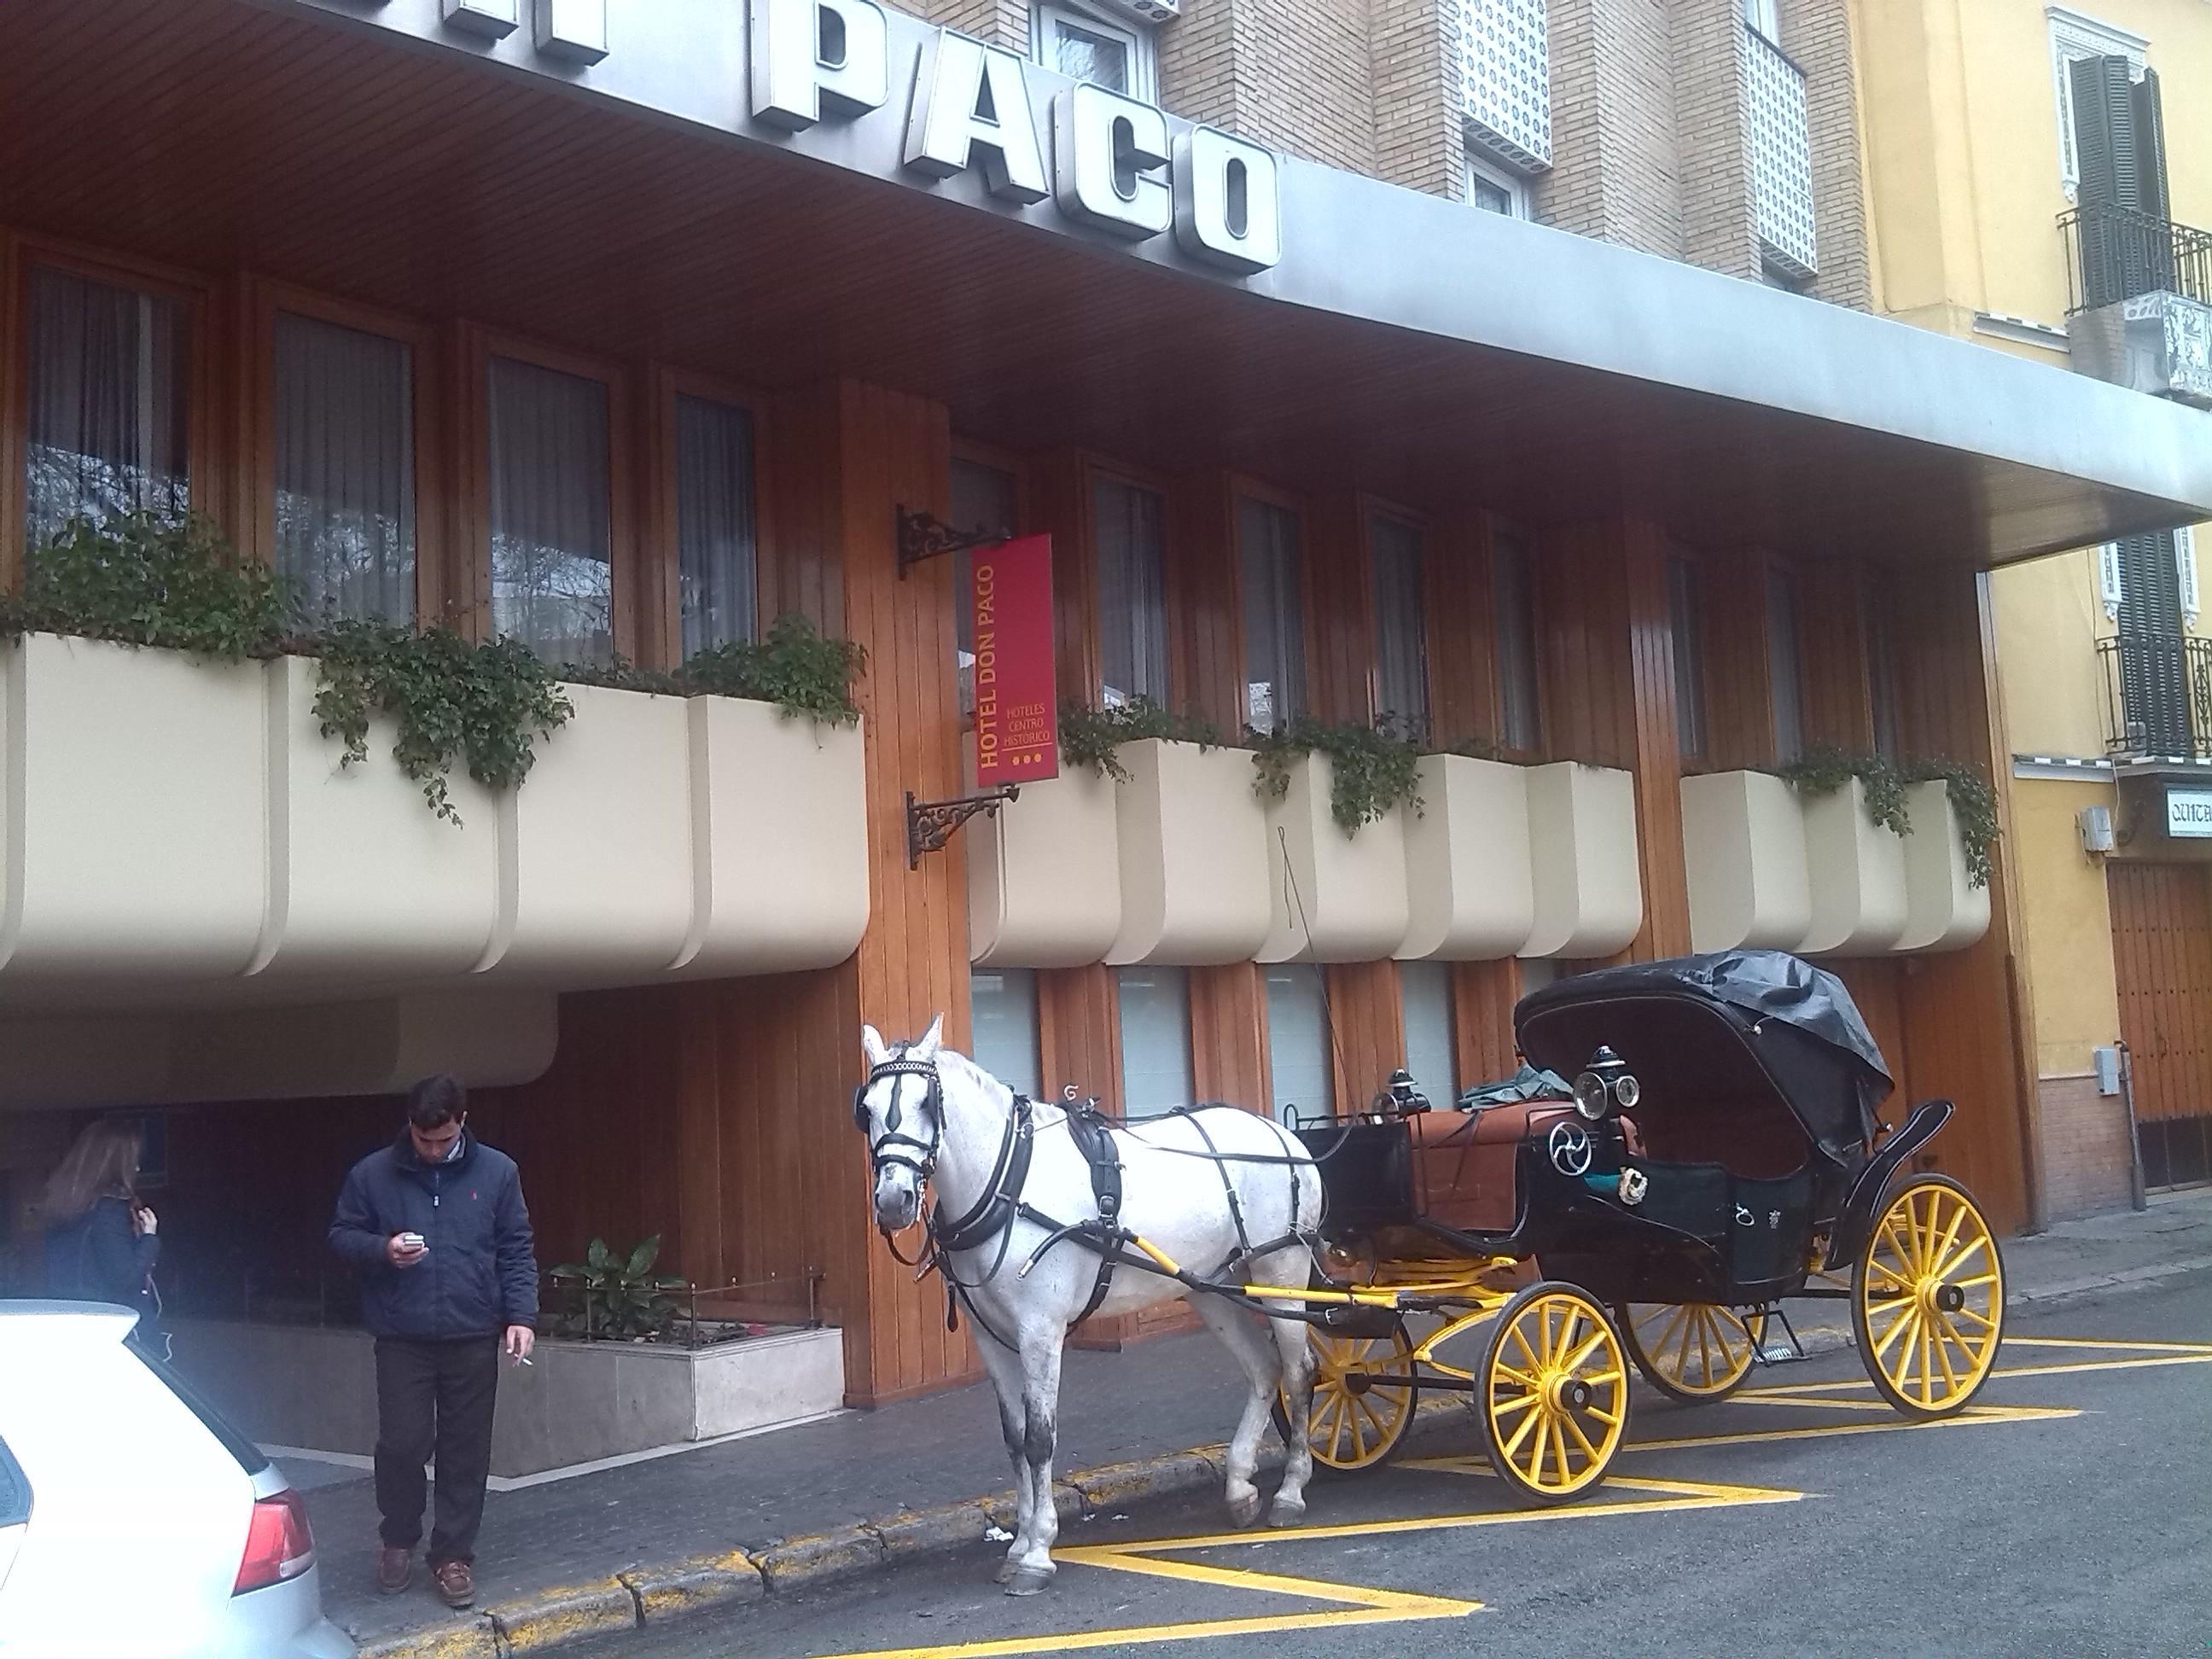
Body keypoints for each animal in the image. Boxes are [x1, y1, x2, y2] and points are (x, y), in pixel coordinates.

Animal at [858, 1022, 1309, 1592]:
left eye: (926, 1102)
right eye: (867, 1108)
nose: (893, 1202)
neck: (1009, 1184)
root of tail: (1281, 1133)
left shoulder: (1040, 1331)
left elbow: (1040, 1439)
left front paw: (1037, 1551)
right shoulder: (991, 1337)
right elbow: (1014, 1438)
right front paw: (1020, 1542)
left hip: (1283, 1273)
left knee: (1298, 1371)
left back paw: (1291, 1490)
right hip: (1211, 1287)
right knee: (1263, 1369)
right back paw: (1239, 1487)